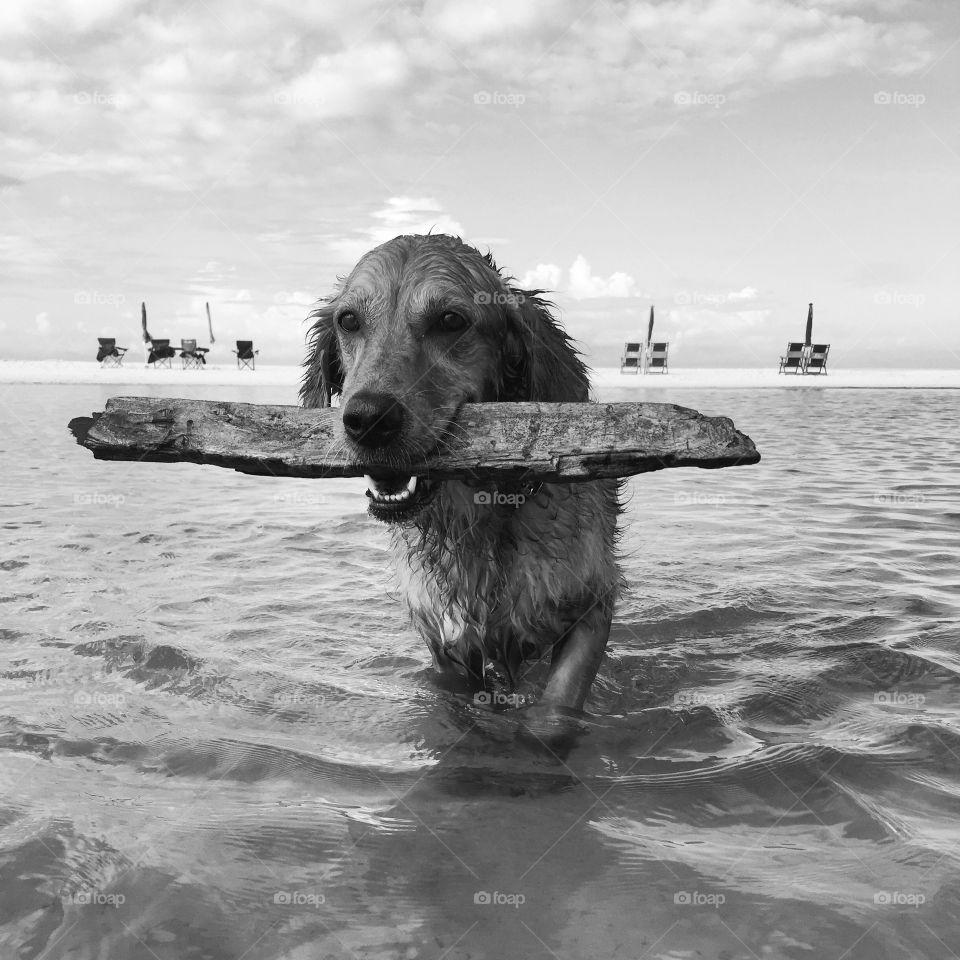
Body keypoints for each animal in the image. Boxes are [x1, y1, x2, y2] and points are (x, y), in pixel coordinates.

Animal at [304, 236, 628, 724]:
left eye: (450, 320)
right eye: (348, 320)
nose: (367, 419)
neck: (482, 514)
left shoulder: (590, 608)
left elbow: (555, 708)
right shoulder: (446, 642)